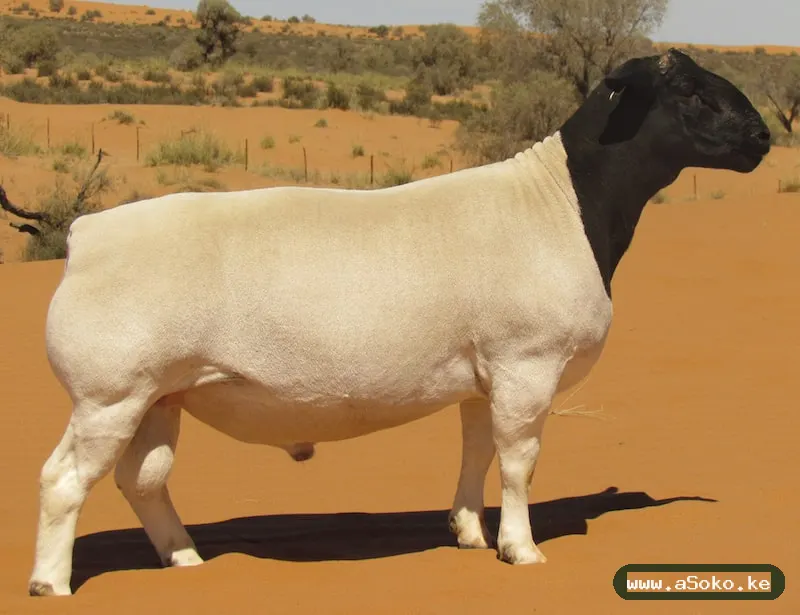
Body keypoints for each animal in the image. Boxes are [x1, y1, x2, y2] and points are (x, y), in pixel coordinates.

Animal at [28, 48, 770, 597]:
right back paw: (50, 583)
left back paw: (184, 558)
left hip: (160, 395)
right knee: (64, 481)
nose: (764, 136)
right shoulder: (527, 365)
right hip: (108, 395)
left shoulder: (483, 373)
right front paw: (521, 548)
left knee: (142, 480)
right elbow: (520, 462)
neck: (563, 200)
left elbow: (477, 450)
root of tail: (87, 232)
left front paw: (469, 531)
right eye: (692, 92)